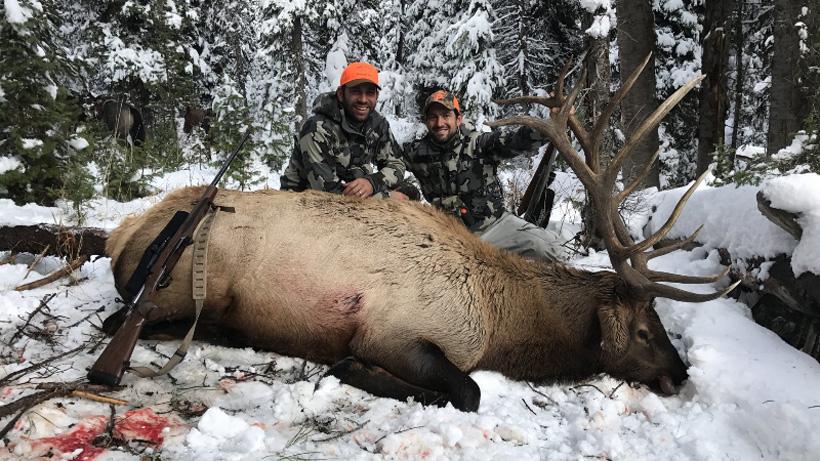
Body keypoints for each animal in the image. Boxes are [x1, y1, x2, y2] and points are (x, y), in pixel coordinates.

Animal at [101, 55, 737, 412]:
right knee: (125, 322)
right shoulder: (393, 331)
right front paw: (347, 368)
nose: (680, 374)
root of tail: (120, 237)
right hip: (182, 286)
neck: (500, 324)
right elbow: (468, 391)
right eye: (643, 330)